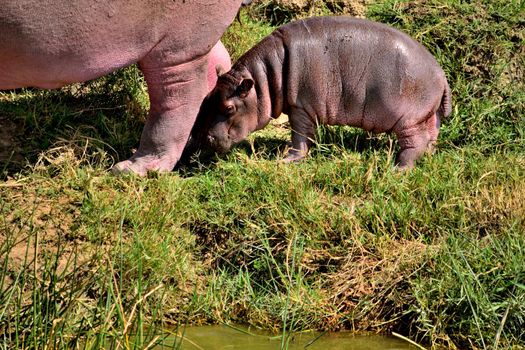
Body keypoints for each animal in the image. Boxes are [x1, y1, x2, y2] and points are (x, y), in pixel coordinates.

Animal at [192, 15, 450, 169]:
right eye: (207, 98)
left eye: (229, 107)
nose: (205, 138)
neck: (264, 78)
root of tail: (441, 74)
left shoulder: (300, 106)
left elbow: (299, 135)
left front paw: (288, 160)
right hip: (428, 116)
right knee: (430, 136)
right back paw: (426, 158)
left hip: (409, 120)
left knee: (414, 143)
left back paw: (398, 168)